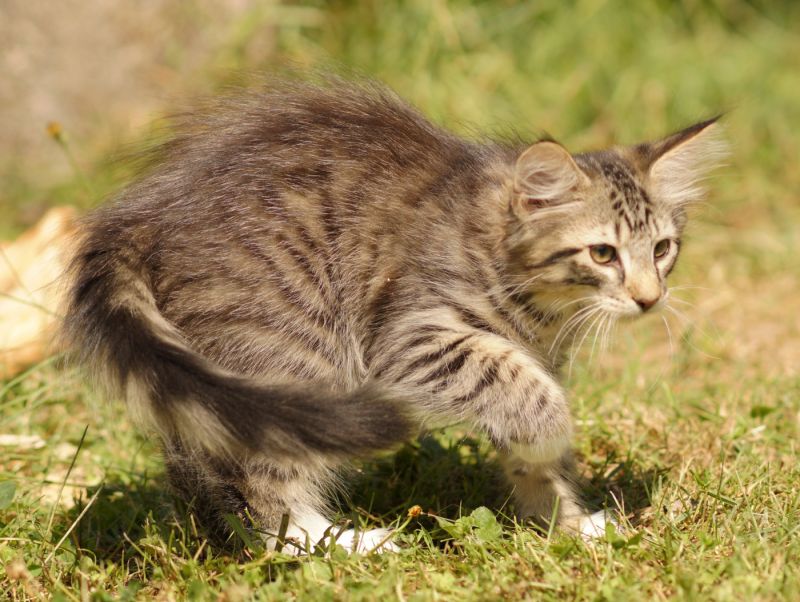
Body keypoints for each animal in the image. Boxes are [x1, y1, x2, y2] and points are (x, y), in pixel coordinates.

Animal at [61, 77, 724, 552]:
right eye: (603, 253)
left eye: (662, 249)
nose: (649, 298)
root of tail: (142, 215)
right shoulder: (412, 337)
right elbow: (527, 393)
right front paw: (552, 434)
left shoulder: (524, 353)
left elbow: (525, 424)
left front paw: (567, 522)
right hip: (295, 345)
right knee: (259, 476)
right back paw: (332, 542)